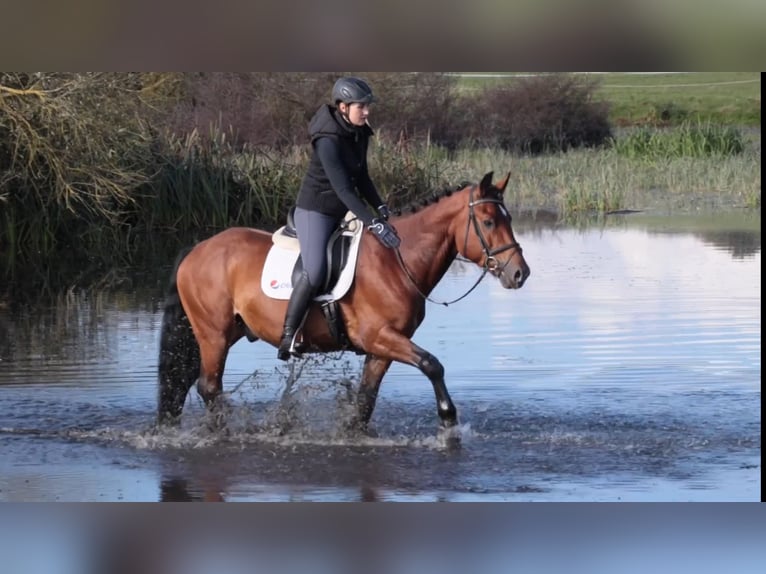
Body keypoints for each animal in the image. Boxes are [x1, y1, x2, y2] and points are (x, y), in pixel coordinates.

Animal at [156, 171, 528, 432]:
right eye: (488, 221)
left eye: (509, 219)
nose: (519, 274)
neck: (397, 260)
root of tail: (198, 249)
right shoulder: (380, 336)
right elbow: (432, 364)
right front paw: (448, 420)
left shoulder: (382, 348)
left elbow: (365, 401)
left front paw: (352, 431)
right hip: (213, 334)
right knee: (208, 386)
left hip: (226, 331)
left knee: (186, 382)